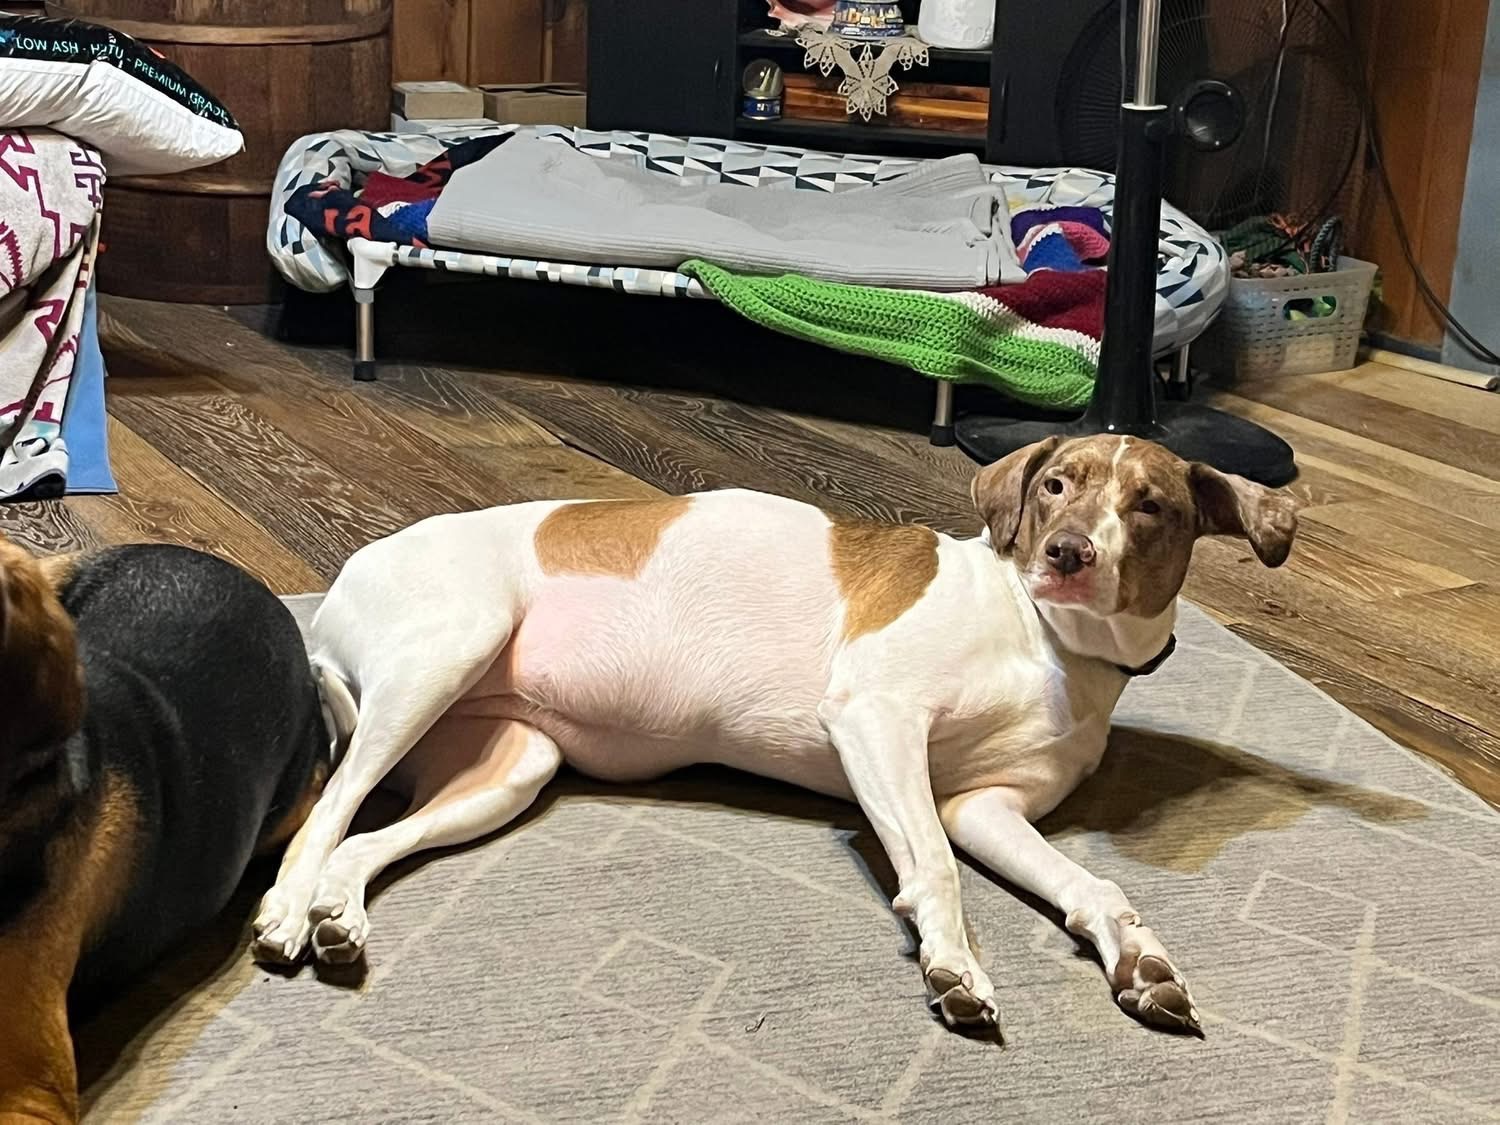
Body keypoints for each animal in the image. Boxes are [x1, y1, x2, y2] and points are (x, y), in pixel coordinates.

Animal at [251, 434, 1298, 1035]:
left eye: (1150, 505)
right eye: (1055, 484)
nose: (1068, 554)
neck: (1049, 638)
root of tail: (334, 593)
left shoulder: (986, 808)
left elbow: (1092, 883)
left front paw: (1138, 957)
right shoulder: (876, 716)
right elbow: (934, 869)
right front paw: (954, 963)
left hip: (510, 765)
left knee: (363, 842)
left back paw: (338, 916)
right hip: (443, 654)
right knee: (326, 815)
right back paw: (287, 913)